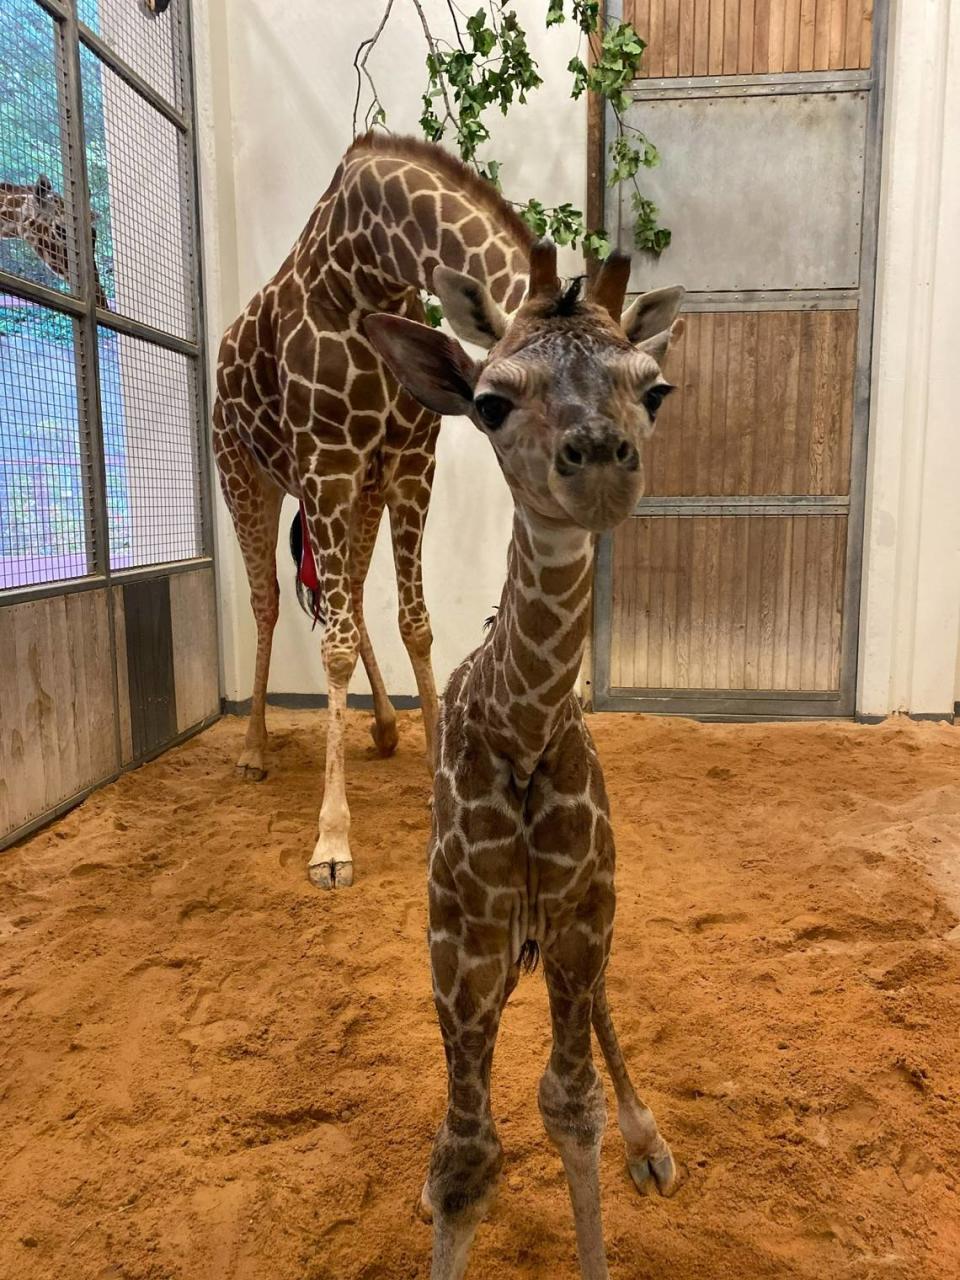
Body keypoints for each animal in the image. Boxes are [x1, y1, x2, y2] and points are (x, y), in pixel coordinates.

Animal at [212, 132, 535, 890]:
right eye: (498, 407)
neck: (372, 269)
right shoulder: (329, 461)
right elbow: (330, 646)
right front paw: (332, 843)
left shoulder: (409, 463)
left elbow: (413, 624)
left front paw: (435, 781)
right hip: (248, 476)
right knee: (270, 600)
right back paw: (253, 749)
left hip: (355, 494)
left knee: (351, 600)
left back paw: (386, 727)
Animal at [363, 241, 686, 1280]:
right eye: (492, 401)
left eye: (654, 388)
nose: (602, 462)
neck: (523, 730)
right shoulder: (459, 940)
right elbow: (468, 1157)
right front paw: (438, 1190)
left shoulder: (586, 911)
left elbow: (568, 1106)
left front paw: (629, 1140)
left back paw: (651, 1142)